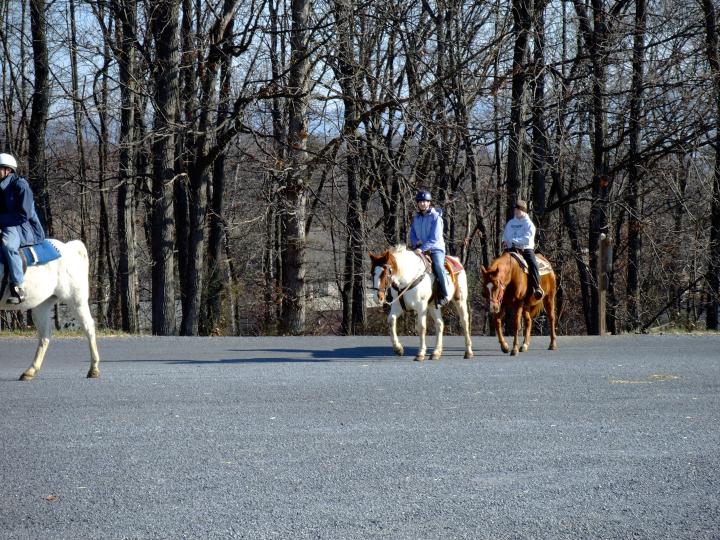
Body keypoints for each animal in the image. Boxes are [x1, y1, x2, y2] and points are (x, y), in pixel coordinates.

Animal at [1, 238, 100, 382]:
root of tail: (69, 248)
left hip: (76, 301)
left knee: (89, 327)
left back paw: (94, 369)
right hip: (41, 306)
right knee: (45, 335)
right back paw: (30, 371)